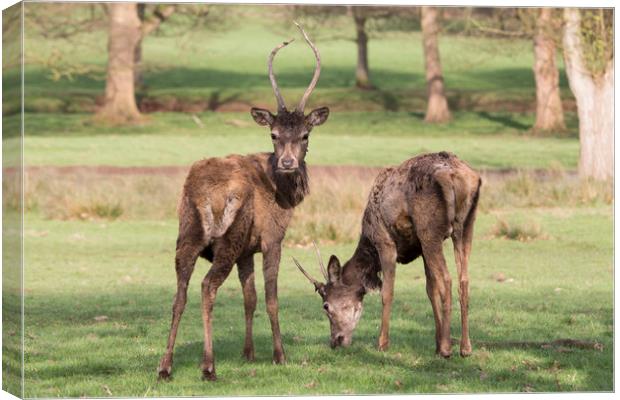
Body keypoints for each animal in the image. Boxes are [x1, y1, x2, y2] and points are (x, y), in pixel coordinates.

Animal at [159, 22, 330, 382]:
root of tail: (202, 191)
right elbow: (270, 297)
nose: (288, 163)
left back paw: (165, 366)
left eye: (305, 134)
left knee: (179, 294)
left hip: (187, 234)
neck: (286, 197)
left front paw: (248, 352)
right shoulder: (271, 238)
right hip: (228, 237)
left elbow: (249, 297)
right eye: (274, 135)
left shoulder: (247, 251)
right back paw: (208, 366)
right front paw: (279, 355)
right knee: (207, 286)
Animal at [294, 152, 480, 358]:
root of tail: (458, 177)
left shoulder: (385, 242)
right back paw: (465, 347)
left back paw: (448, 348)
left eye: (326, 306)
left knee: (447, 280)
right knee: (464, 280)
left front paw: (382, 343)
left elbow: (387, 292)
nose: (336, 341)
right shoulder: (420, 248)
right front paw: (437, 345)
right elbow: (430, 289)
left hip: (429, 230)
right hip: (466, 225)